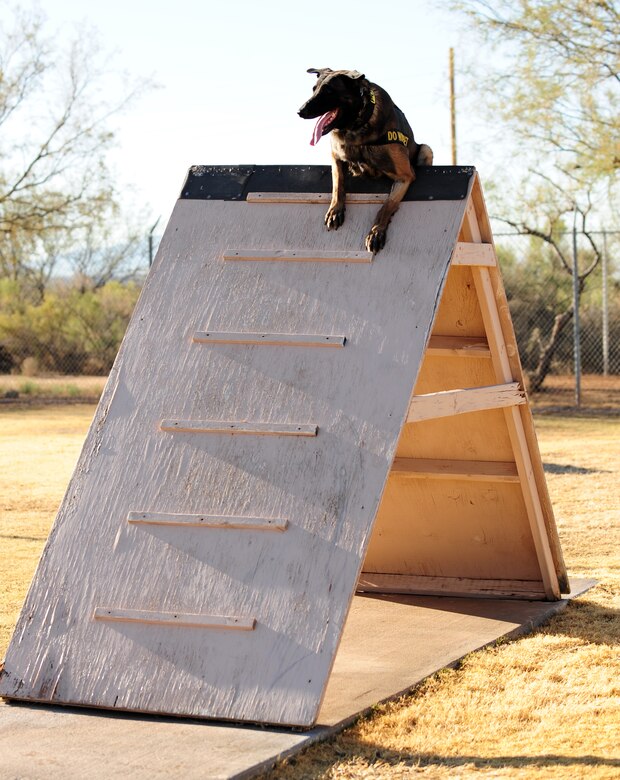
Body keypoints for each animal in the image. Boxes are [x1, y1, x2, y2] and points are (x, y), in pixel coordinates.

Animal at [300, 68, 434, 253]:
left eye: (328, 90)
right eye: (314, 89)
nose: (300, 111)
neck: (358, 125)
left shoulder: (405, 176)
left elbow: (387, 205)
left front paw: (376, 232)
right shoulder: (335, 156)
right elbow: (338, 183)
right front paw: (335, 211)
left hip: (426, 149)